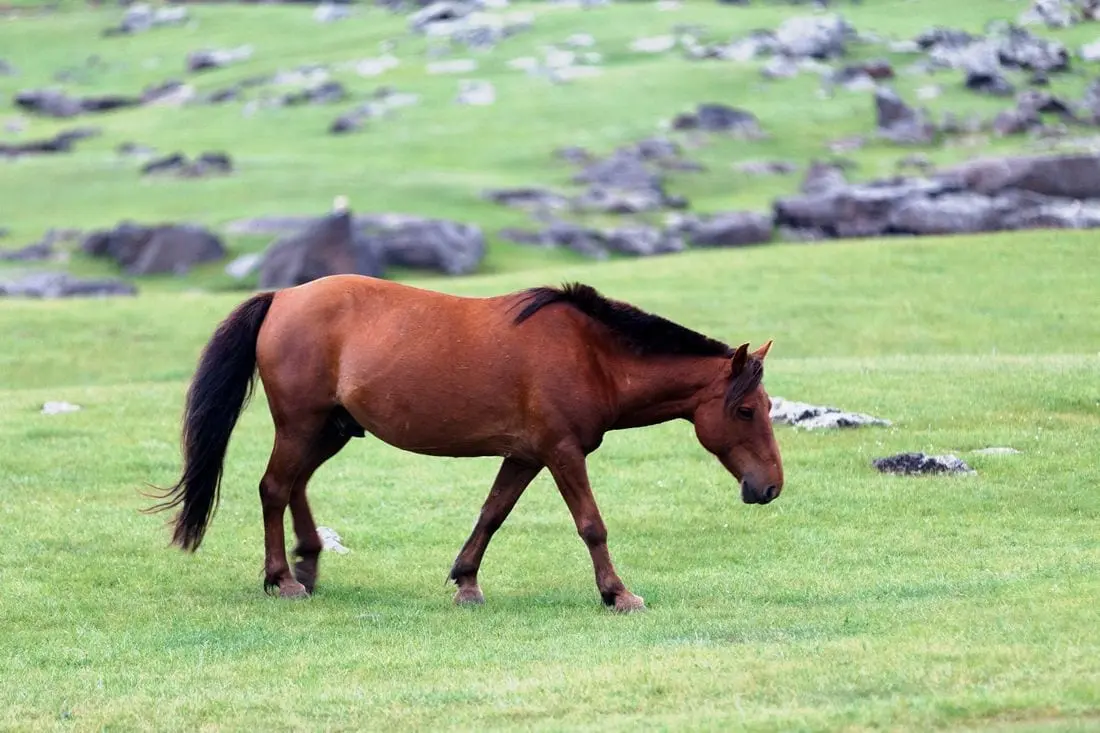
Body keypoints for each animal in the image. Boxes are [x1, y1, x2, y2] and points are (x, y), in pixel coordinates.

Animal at [148, 275, 784, 612]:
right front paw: (617, 593)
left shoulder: (525, 456)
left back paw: (306, 564)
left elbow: (491, 514)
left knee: (294, 485)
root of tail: (283, 295)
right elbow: (591, 526)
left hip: (330, 428)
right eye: (746, 410)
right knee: (275, 487)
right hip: (303, 424)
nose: (771, 487)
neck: (593, 356)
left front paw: (466, 580)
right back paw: (282, 578)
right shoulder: (561, 453)